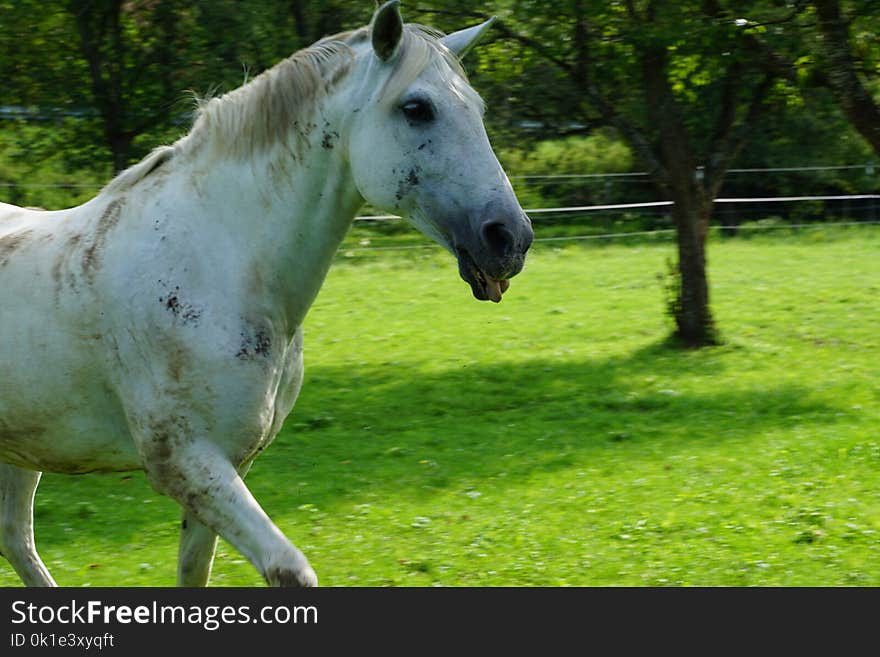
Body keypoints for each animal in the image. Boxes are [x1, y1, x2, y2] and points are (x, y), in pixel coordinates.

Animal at [0, 0, 528, 584]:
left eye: (477, 109)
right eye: (417, 108)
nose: (510, 237)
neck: (216, 263)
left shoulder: (226, 466)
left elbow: (195, 573)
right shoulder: (187, 462)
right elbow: (289, 570)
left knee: (16, 537)